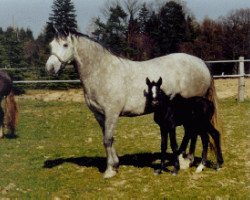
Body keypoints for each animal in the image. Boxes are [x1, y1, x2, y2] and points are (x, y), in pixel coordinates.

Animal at [46, 30, 218, 178]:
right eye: (51, 45)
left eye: (65, 45)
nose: (50, 68)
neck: (102, 72)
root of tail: (201, 63)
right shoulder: (99, 115)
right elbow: (107, 138)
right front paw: (115, 164)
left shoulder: (112, 113)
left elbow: (107, 139)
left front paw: (110, 170)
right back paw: (187, 160)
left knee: (192, 132)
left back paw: (184, 161)